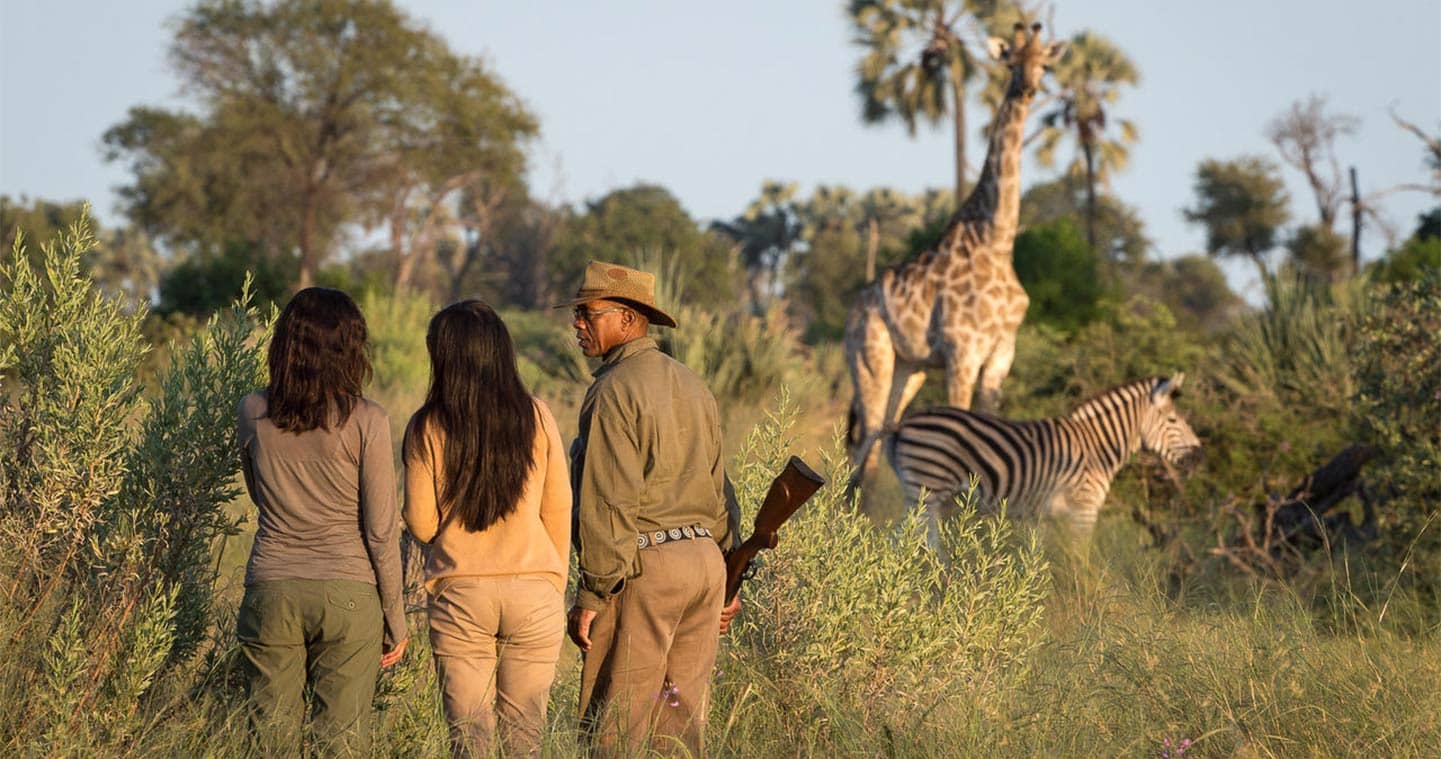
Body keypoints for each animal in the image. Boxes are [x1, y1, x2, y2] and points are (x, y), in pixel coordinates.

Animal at [841, 25, 1060, 486]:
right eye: (1011, 60)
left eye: (1045, 63)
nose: (1028, 87)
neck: (998, 241)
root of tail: (853, 309)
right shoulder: (963, 352)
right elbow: (962, 429)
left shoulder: (1001, 355)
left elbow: (990, 426)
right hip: (869, 357)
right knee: (865, 438)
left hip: (910, 367)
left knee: (877, 441)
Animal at [881, 374, 1198, 547]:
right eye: (1173, 420)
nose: (1199, 454)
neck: (1096, 448)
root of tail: (905, 422)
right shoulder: (1084, 510)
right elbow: (1081, 561)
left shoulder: (1044, 516)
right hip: (927, 491)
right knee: (909, 542)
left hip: (922, 495)